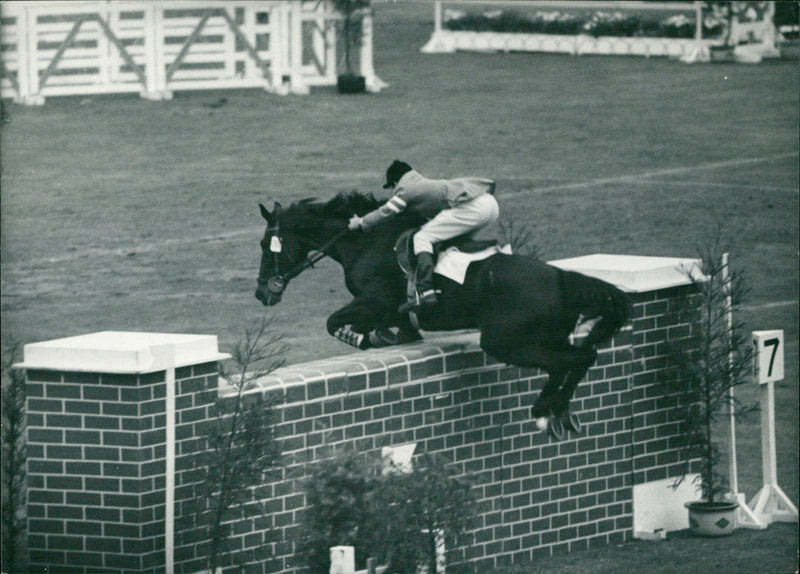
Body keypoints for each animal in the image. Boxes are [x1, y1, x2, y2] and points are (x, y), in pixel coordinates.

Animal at [256, 194, 632, 440]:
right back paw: (556, 411)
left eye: (265, 245)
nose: (262, 293)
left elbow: (335, 323)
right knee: (578, 358)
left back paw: (546, 409)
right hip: (540, 338)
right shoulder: (391, 312)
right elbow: (400, 332)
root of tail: (560, 279)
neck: (364, 242)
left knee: (576, 358)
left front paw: (370, 339)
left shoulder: (375, 301)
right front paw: (386, 336)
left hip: (506, 341)